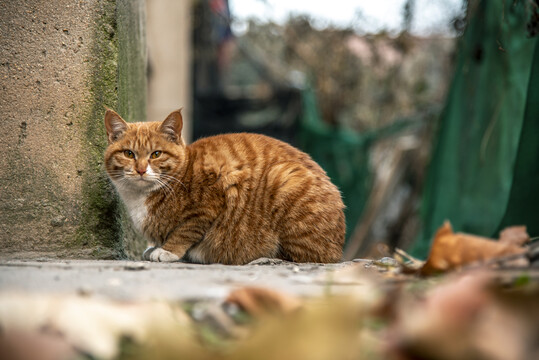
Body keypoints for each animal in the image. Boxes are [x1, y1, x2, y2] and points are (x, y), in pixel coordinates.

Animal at [104, 109, 346, 264]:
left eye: (156, 154)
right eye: (129, 154)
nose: (141, 170)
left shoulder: (212, 199)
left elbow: (185, 230)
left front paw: (168, 251)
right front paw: (157, 246)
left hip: (284, 179)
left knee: (307, 257)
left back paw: (264, 258)